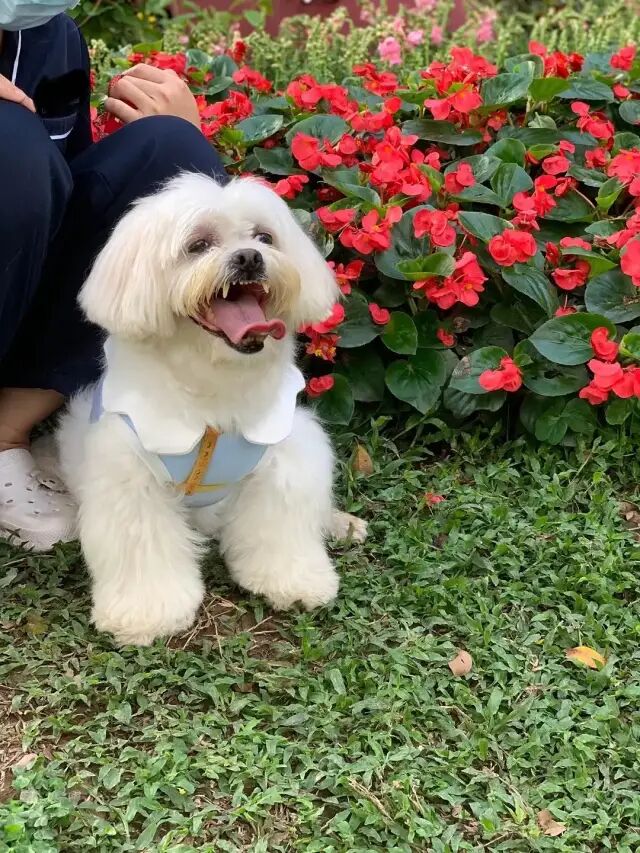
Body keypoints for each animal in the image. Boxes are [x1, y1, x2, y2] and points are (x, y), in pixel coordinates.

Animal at [56, 173, 366, 646]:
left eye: (264, 237)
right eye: (197, 245)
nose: (250, 257)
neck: (214, 387)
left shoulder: (286, 455)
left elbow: (282, 525)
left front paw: (294, 579)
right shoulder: (129, 478)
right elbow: (143, 545)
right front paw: (148, 613)